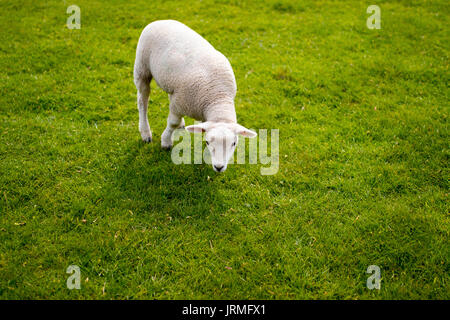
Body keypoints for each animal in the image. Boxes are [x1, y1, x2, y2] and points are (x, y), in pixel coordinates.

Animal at [133, 19, 256, 172]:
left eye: (234, 143)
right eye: (208, 142)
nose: (219, 167)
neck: (218, 97)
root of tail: (160, 21)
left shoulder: (184, 102)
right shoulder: (180, 103)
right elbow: (172, 123)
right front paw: (166, 141)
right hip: (142, 67)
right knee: (142, 100)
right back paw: (145, 132)